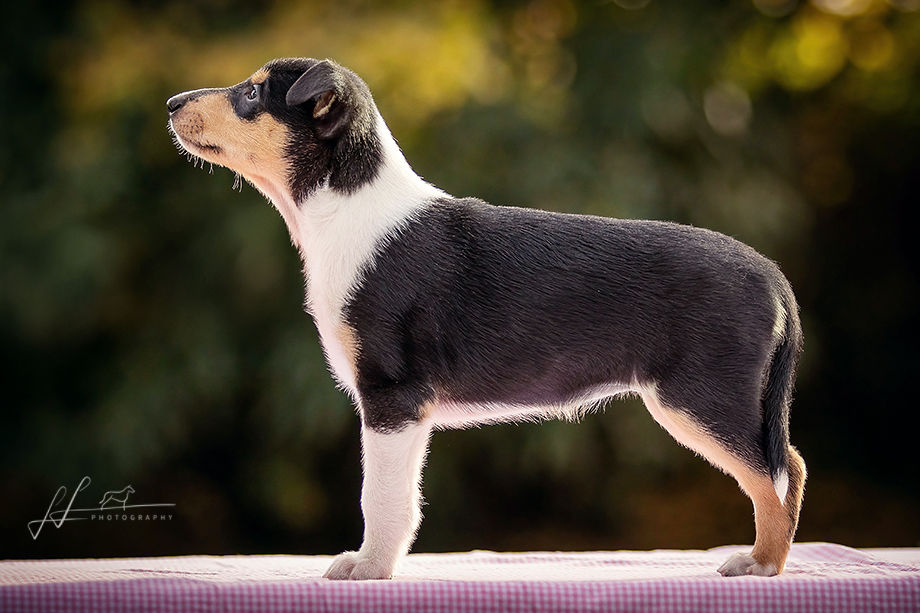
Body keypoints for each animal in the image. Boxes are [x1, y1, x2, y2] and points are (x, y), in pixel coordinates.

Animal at [167, 57, 806, 580]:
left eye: (252, 93)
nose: (171, 103)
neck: (340, 208)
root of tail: (773, 275)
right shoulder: (406, 412)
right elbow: (405, 497)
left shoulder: (391, 396)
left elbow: (381, 496)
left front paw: (368, 569)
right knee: (785, 468)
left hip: (700, 397)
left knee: (778, 471)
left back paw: (762, 564)